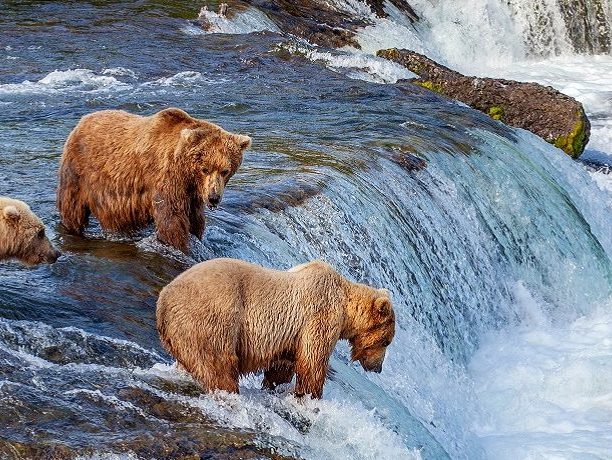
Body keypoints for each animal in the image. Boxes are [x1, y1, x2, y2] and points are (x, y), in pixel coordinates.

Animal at [55, 106, 251, 253]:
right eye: (205, 169)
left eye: (225, 170)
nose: (213, 197)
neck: (186, 172)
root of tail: (82, 120)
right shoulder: (166, 178)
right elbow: (171, 220)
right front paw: (179, 246)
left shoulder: (192, 193)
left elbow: (196, 220)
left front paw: (196, 236)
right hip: (79, 173)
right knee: (72, 208)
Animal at [157, 258, 396, 398]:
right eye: (386, 341)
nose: (378, 368)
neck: (345, 305)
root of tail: (163, 301)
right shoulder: (319, 315)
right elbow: (313, 362)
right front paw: (309, 396)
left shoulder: (290, 336)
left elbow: (282, 366)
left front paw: (274, 386)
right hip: (213, 318)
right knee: (219, 364)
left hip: (183, 333)